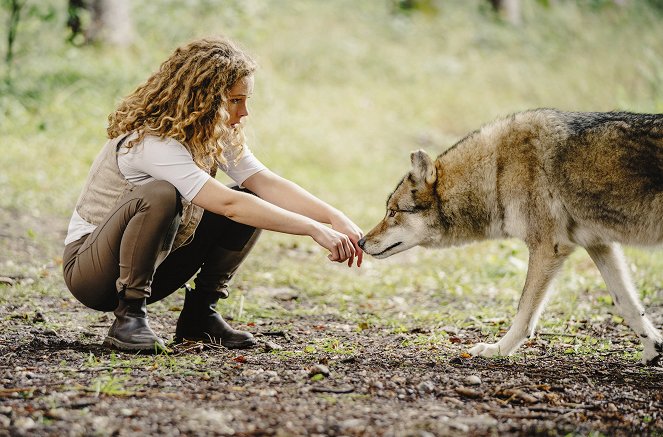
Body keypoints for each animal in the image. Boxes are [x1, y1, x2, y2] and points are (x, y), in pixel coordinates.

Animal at [360, 108, 663, 364]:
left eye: (392, 212)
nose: (362, 242)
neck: (496, 171)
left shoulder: (548, 247)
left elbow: (524, 312)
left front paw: (497, 350)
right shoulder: (599, 245)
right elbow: (628, 305)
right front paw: (653, 351)